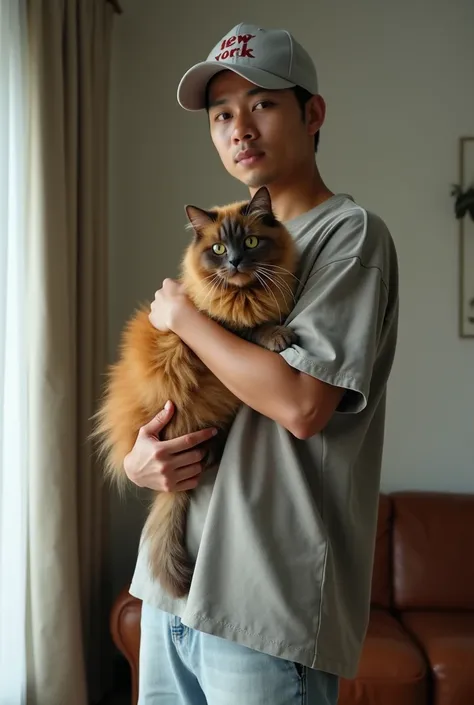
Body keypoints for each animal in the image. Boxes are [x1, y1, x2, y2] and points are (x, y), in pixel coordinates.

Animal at [93, 184, 300, 596]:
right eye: (218, 248)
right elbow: (255, 330)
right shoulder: (220, 326)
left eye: (250, 242)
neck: (244, 296)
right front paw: (277, 335)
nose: (234, 261)